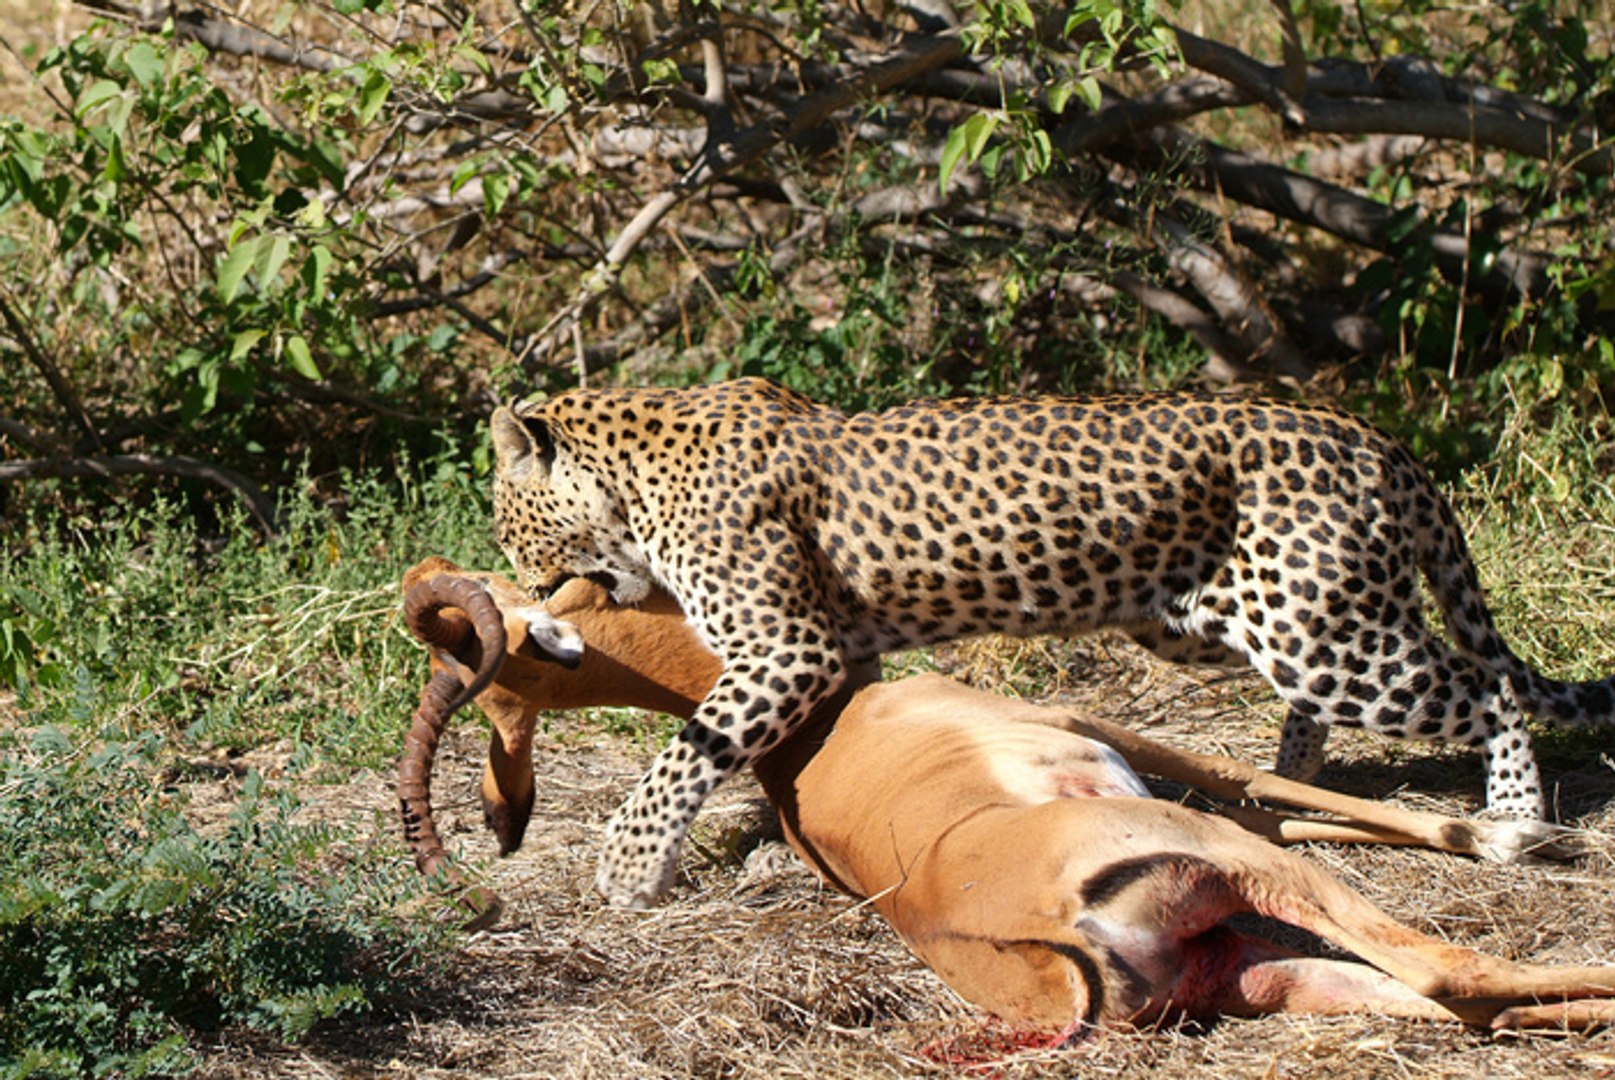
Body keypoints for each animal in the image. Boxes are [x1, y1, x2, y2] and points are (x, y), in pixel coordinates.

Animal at [398, 557, 1614, 1036]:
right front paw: (1521, 836)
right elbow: (1263, 778)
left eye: (499, 683)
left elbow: (1287, 789)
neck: (827, 724)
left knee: (1467, 1006)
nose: (503, 813)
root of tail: (1040, 941)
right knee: (1456, 976)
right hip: (1250, 885)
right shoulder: (1103, 731)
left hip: (1260, 969)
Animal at [490, 377, 1615, 908]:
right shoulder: (840, 657)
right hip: (1229, 624)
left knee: (1484, 687)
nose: (528, 594)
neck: (632, 483)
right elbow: (797, 758)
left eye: (510, 525)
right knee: (1372, 693)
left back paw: (1515, 817)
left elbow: (685, 755)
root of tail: (1376, 438)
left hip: (1327, 640)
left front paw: (628, 870)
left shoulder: (786, 648)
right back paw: (1285, 788)